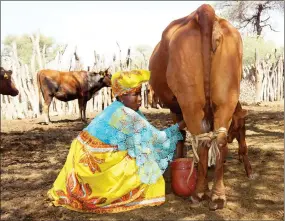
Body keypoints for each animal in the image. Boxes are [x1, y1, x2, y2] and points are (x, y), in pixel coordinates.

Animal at [148, 3, 243, 211]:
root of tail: (204, 12)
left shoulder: (175, 109)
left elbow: (179, 136)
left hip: (190, 102)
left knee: (202, 142)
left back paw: (199, 193)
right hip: (227, 99)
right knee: (219, 140)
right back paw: (217, 196)